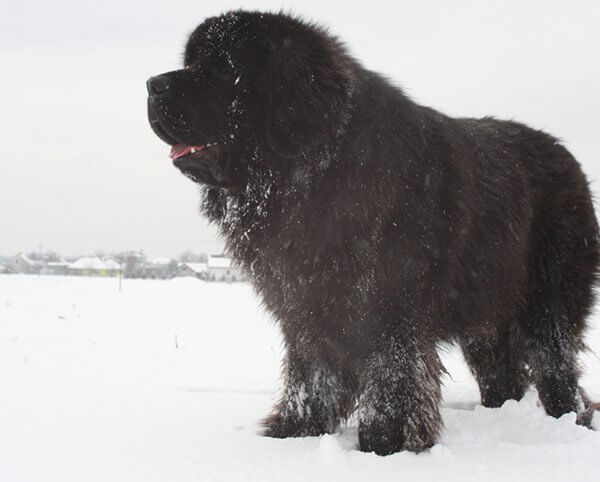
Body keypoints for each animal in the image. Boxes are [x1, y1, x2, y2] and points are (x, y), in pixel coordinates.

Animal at [146, 11, 600, 456]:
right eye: (191, 62)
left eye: (222, 68)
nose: (151, 84)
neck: (314, 177)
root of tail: (568, 157)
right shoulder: (304, 302)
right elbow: (311, 374)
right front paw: (295, 434)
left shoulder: (389, 307)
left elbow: (392, 378)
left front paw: (385, 445)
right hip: (485, 313)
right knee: (502, 374)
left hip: (548, 298)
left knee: (555, 364)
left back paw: (567, 419)